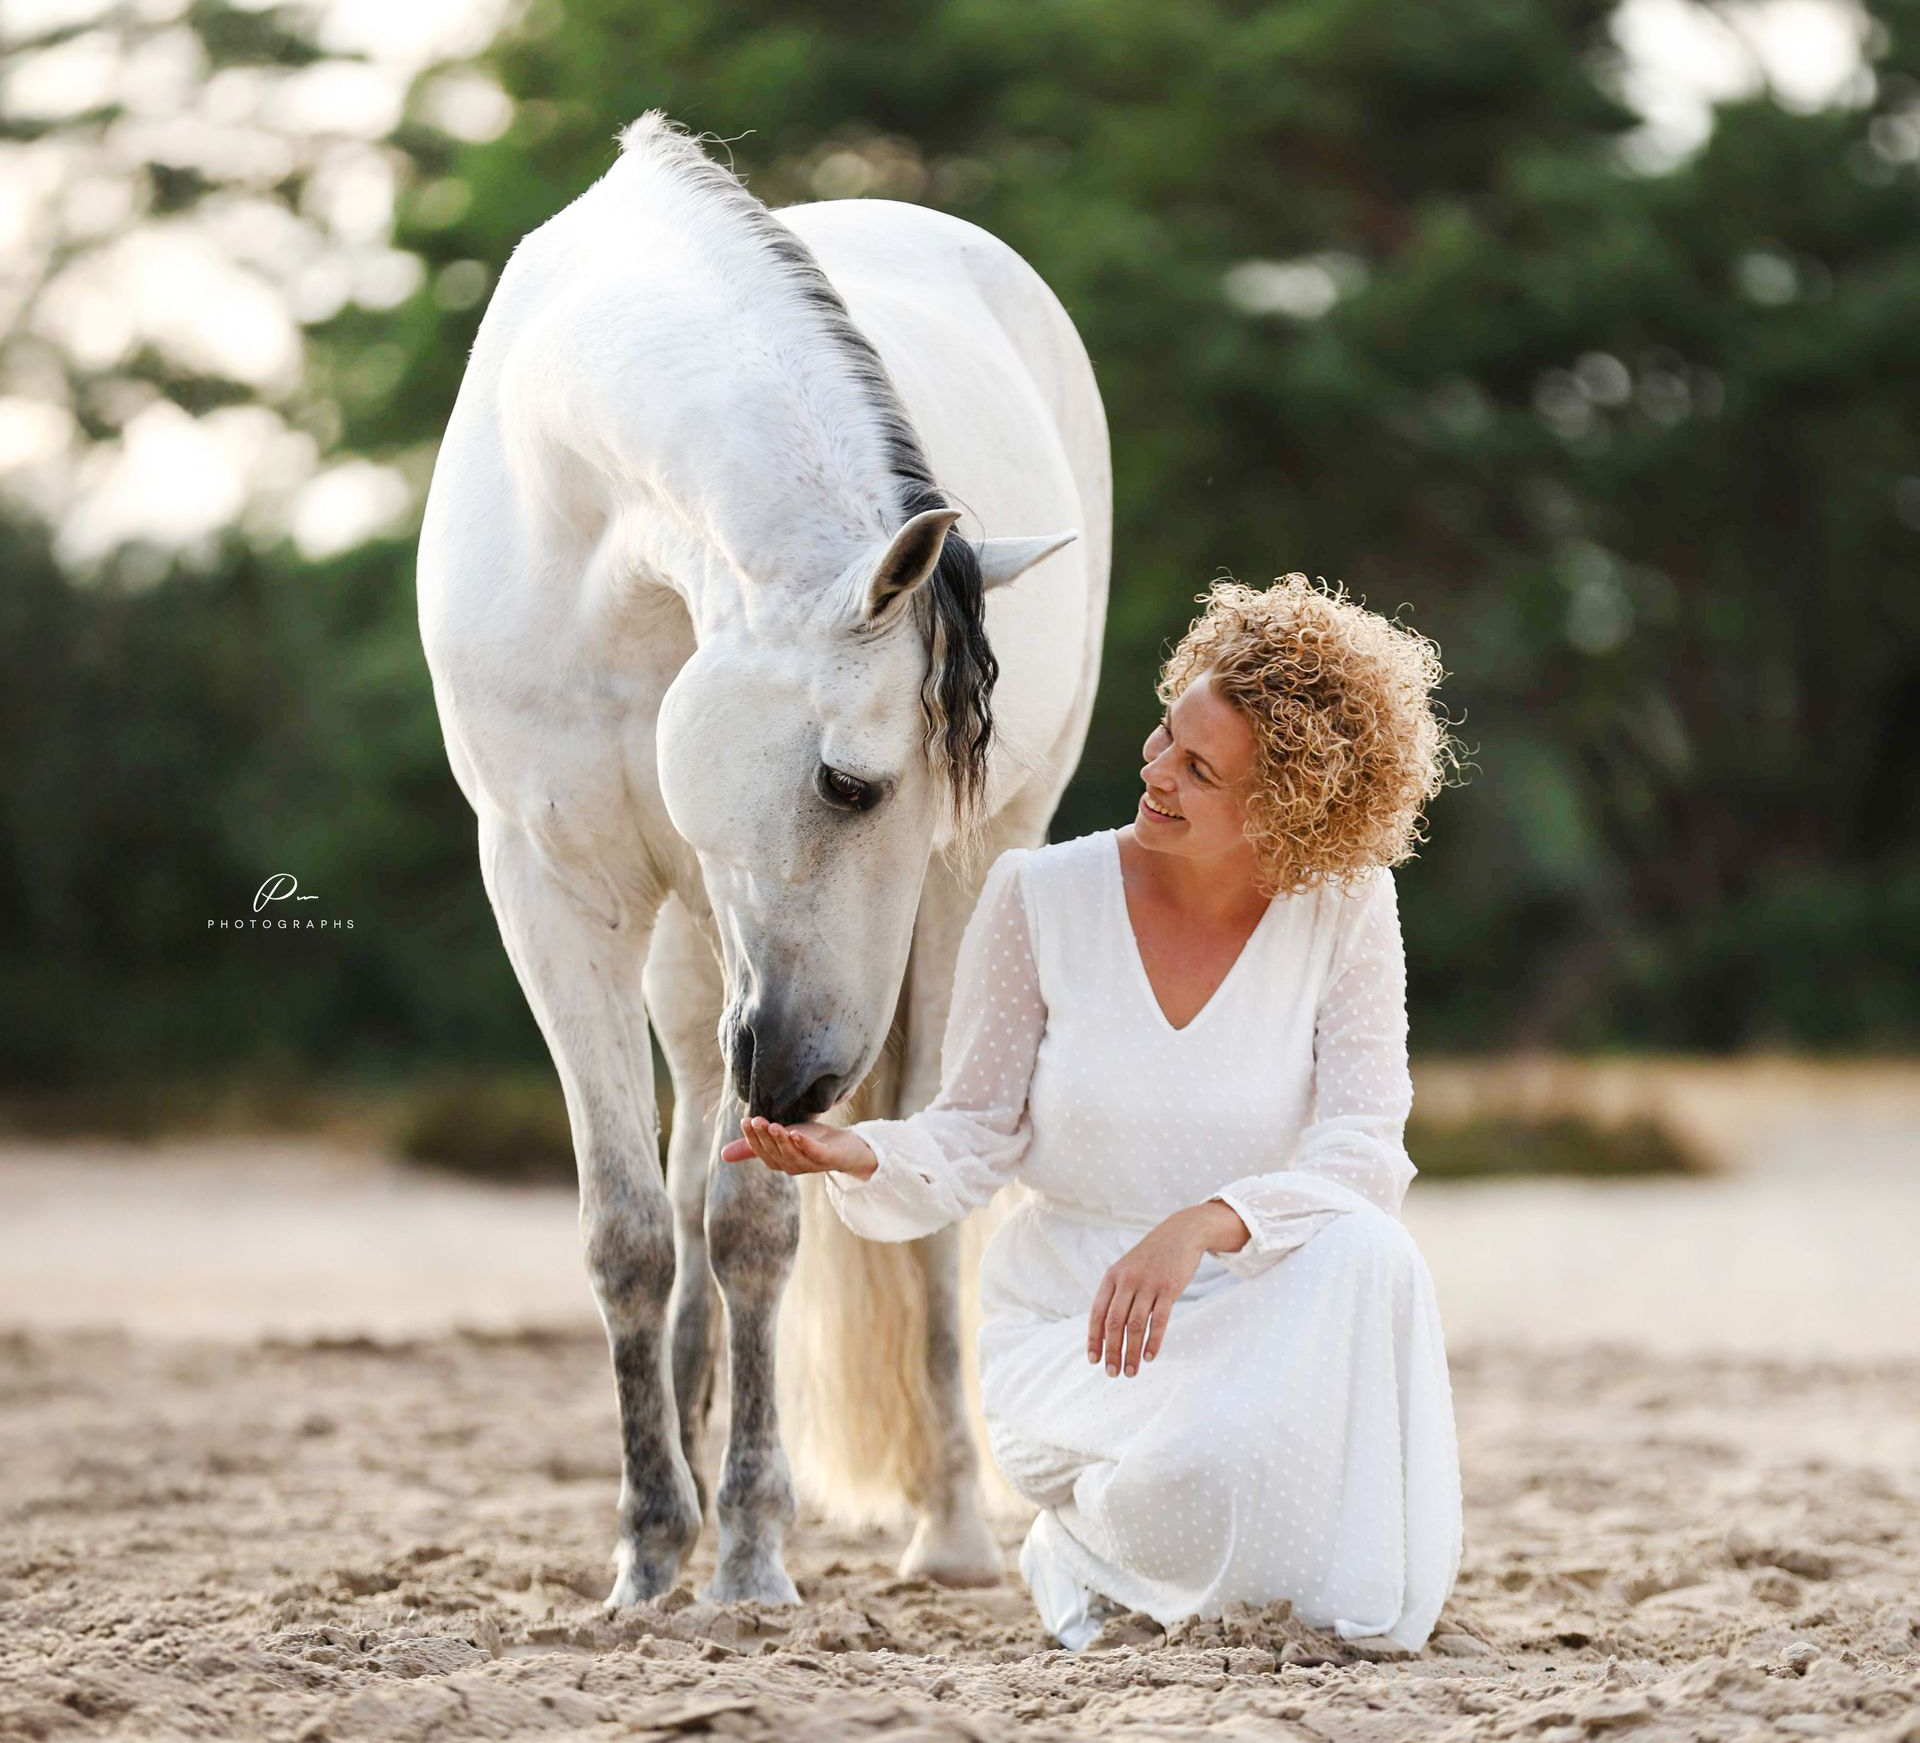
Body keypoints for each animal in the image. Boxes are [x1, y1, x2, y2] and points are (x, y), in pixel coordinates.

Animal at [416, 110, 1110, 1606]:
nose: (804, 1077)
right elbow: (631, 1228)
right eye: (850, 783)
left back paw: (947, 1529)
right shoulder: (550, 893)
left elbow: (754, 1230)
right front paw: (646, 1547)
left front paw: (745, 1552)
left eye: (920, 798)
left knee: (922, 1192)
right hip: (689, 946)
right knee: (684, 1159)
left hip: (953, 908)